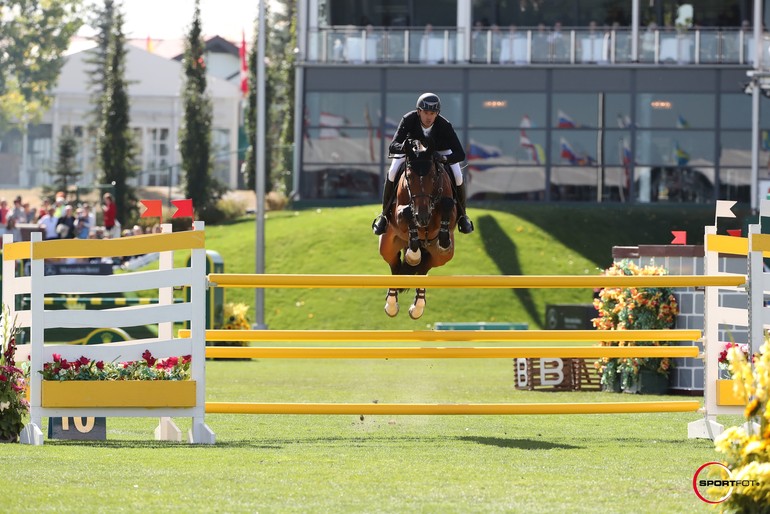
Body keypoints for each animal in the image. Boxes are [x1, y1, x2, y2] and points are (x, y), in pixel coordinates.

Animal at [378, 138, 456, 318]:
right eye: (409, 177)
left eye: (433, 177)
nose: (422, 216)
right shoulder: (399, 214)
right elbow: (406, 212)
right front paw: (413, 253)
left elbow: (448, 204)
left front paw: (443, 240)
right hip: (387, 244)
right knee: (395, 266)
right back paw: (391, 305)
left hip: (441, 257)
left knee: (424, 269)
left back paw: (418, 306)